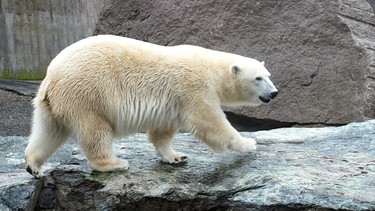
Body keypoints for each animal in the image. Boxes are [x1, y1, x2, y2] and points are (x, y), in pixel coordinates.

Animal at [24, 34, 280, 178]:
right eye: (258, 78)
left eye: (269, 75)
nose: (274, 92)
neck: (211, 68)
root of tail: (51, 75)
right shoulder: (193, 87)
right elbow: (209, 122)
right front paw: (248, 143)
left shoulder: (173, 101)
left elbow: (163, 131)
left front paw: (176, 156)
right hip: (88, 93)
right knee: (94, 130)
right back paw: (113, 163)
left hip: (54, 102)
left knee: (49, 131)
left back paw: (34, 165)